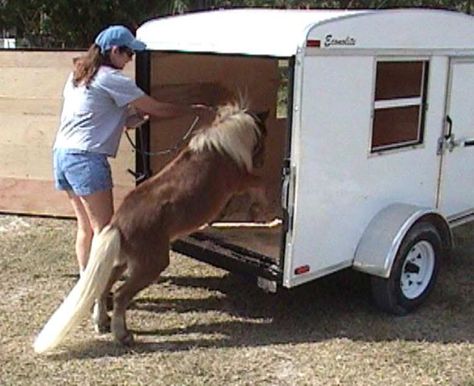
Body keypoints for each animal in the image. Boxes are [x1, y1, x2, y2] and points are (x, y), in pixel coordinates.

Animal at [34, 102, 266, 352]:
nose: (262, 160)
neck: (221, 148)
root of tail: (117, 225)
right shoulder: (240, 181)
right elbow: (258, 185)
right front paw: (260, 210)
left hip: (122, 262)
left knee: (103, 287)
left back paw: (102, 323)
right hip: (151, 265)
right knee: (121, 296)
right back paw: (122, 336)